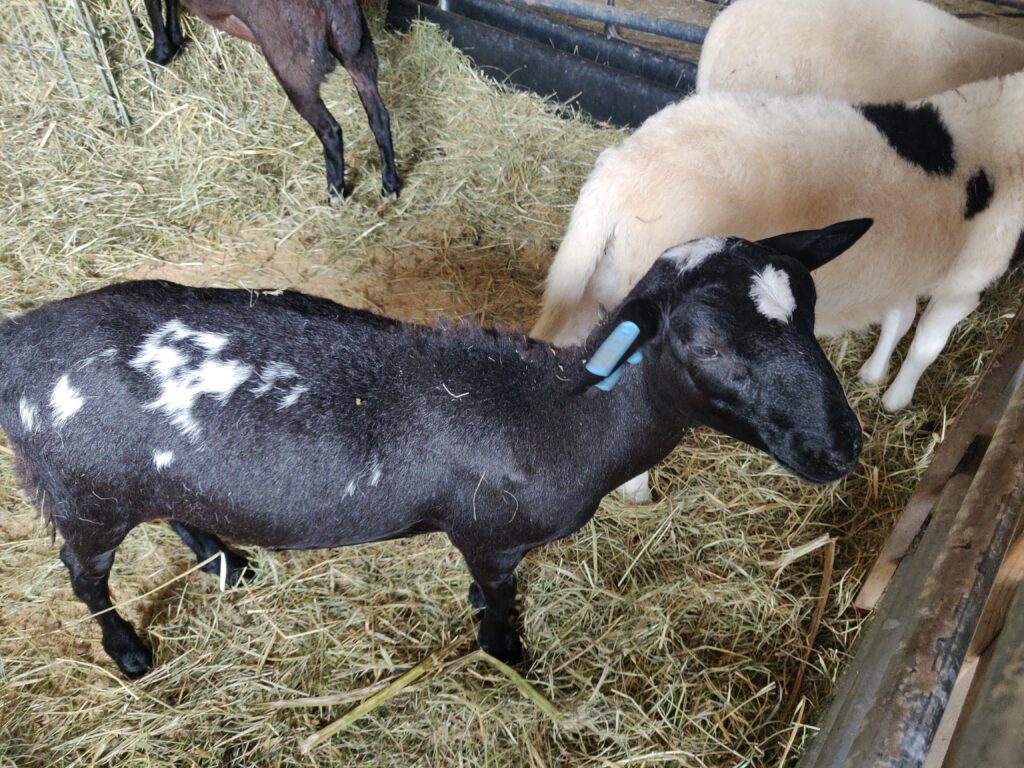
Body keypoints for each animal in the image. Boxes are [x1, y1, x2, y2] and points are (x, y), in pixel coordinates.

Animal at [144, 0, 399, 201]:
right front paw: (175, 41)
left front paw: (160, 53)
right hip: (358, 49)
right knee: (379, 116)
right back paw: (390, 186)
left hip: (295, 72)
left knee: (331, 130)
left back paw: (335, 193)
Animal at [532, 74, 1024, 417]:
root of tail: (621, 172)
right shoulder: (966, 281)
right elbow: (926, 343)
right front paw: (897, 400)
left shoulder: (900, 266)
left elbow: (898, 319)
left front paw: (873, 375)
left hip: (598, 283)